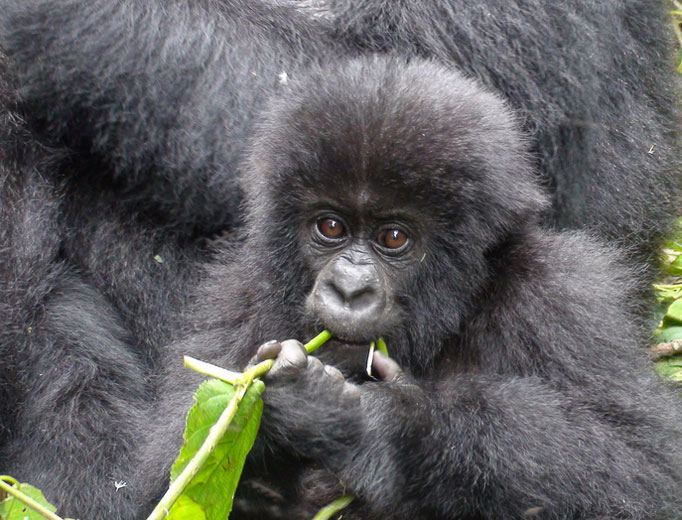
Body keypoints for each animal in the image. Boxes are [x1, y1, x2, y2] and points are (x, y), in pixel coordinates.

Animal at [150, 57, 682, 520]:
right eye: (330, 226)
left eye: (393, 237)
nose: (348, 289)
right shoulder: (239, 293)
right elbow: (167, 476)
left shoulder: (560, 295)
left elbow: (643, 468)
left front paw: (371, 425)